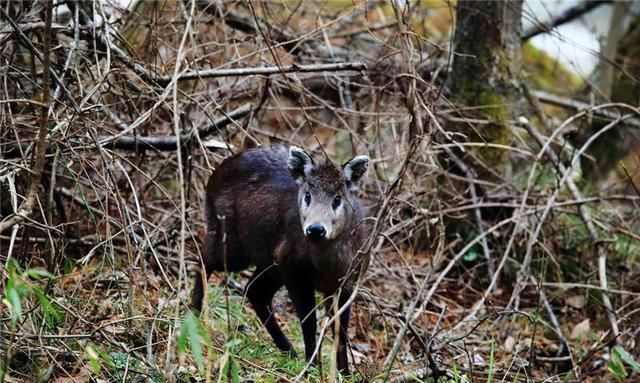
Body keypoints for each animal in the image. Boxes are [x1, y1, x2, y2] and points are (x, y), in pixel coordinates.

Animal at [191, 144, 370, 376]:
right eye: (308, 196)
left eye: (337, 199)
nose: (315, 229)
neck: (328, 268)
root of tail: (213, 177)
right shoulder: (293, 268)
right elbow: (308, 322)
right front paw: (311, 368)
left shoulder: (347, 282)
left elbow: (341, 329)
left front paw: (344, 373)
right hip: (234, 243)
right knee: (205, 258)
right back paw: (192, 315)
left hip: (268, 261)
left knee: (254, 289)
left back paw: (289, 351)